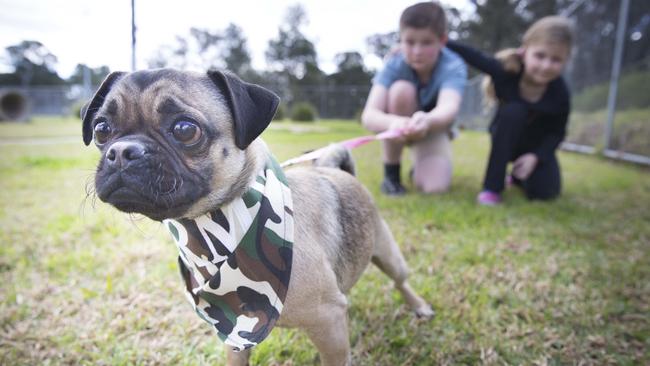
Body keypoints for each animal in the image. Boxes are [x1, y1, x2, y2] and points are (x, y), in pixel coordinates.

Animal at [82, 69, 430, 366]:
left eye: (185, 130)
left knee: (400, 280)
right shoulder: (236, 335)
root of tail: (338, 170)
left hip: (387, 252)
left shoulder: (328, 324)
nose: (122, 152)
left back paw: (420, 307)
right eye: (101, 130)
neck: (215, 230)